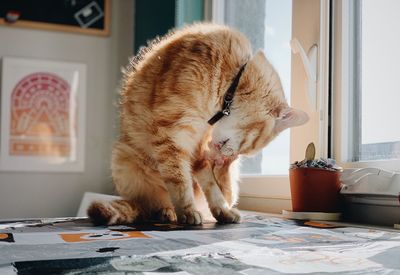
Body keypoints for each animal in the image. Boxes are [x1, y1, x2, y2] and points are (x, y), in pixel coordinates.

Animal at [87, 23, 308, 226]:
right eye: (249, 147)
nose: (230, 156)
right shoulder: (172, 136)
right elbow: (179, 181)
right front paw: (187, 211)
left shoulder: (198, 151)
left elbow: (212, 187)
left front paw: (222, 211)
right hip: (123, 158)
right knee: (148, 205)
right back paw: (166, 211)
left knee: (225, 190)